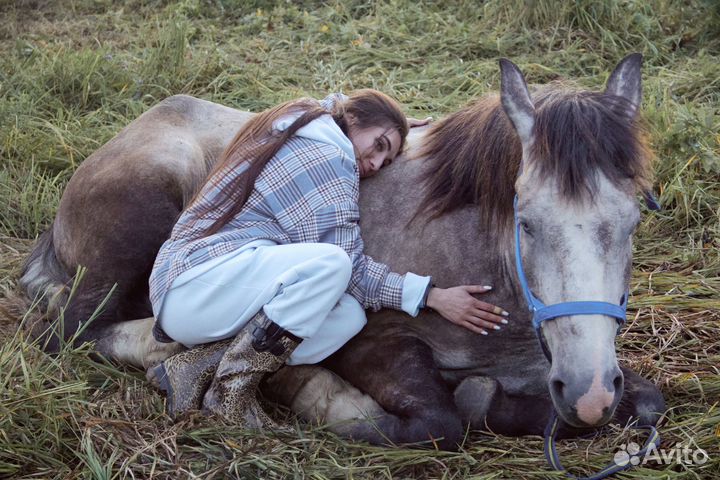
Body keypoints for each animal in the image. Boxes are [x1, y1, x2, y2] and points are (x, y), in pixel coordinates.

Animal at [19, 56, 664, 450]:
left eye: (634, 220)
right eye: (525, 223)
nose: (588, 393)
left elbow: (647, 403)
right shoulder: (375, 343)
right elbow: (441, 419)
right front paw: (329, 404)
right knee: (72, 331)